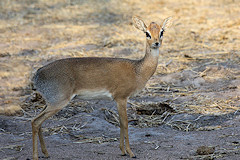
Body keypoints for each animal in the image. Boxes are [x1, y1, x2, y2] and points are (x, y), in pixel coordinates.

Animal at [31, 15, 172, 159]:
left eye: (162, 31)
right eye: (147, 33)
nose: (156, 43)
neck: (138, 70)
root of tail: (37, 74)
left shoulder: (118, 100)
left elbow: (121, 123)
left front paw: (122, 150)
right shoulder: (121, 98)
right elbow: (125, 123)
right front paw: (130, 152)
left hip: (50, 103)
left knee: (38, 122)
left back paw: (46, 153)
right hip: (58, 102)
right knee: (35, 122)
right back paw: (35, 156)